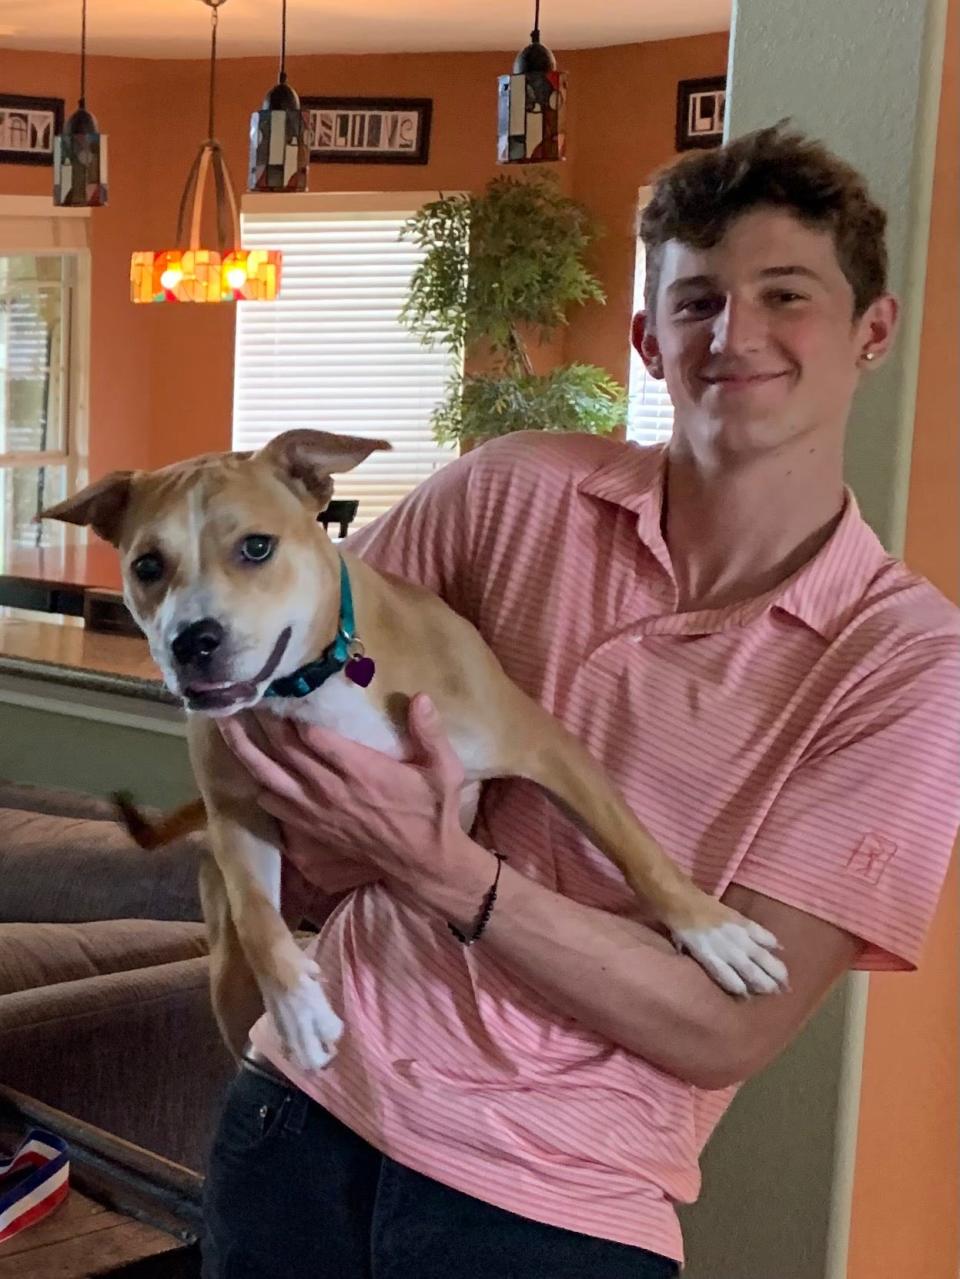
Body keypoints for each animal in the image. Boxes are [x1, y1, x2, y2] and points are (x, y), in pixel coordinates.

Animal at [43, 427, 787, 1069]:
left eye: (256, 547)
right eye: (147, 565)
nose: (191, 640)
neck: (314, 681)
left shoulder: (546, 746)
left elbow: (635, 847)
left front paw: (715, 932)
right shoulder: (237, 816)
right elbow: (259, 916)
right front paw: (298, 1008)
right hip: (225, 966)